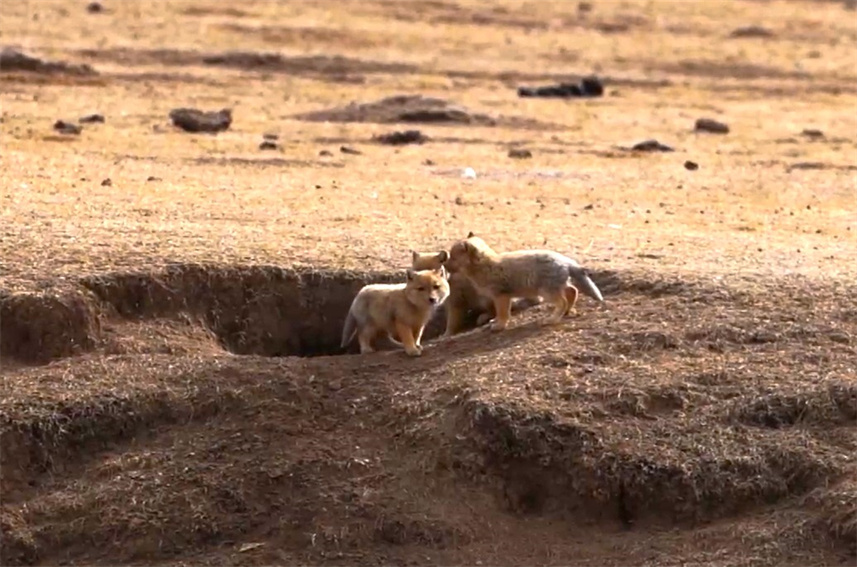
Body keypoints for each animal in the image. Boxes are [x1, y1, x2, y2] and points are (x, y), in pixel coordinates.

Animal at [411, 249, 541, 336]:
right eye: (417, 271)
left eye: (431, 271)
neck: (450, 278)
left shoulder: (456, 304)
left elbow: (452, 323)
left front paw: (446, 335)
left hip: (485, 300)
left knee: (494, 311)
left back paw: (484, 317)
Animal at [444, 232, 604, 332]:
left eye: (453, 257)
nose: (444, 265)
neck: (487, 265)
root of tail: (565, 261)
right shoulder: (498, 298)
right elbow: (497, 313)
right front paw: (495, 322)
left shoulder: (501, 296)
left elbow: (503, 313)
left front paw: (500, 326)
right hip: (557, 287)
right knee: (572, 291)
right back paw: (566, 312)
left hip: (547, 292)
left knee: (563, 301)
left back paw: (552, 319)